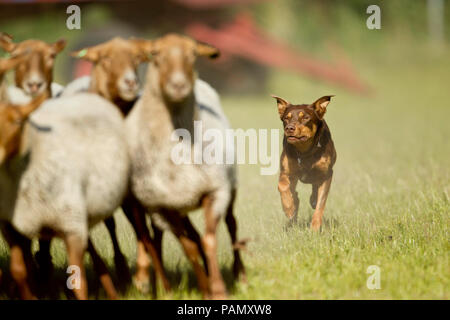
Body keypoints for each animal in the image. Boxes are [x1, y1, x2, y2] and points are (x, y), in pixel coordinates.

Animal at [125, 33, 246, 298]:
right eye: (155, 54)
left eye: (193, 55)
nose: (179, 85)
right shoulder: (162, 208)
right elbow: (189, 248)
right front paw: (205, 288)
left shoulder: (215, 191)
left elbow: (209, 241)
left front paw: (218, 289)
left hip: (230, 186)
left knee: (232, 224)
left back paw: (240, 274)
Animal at [272, 94, 336, 231]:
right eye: (286, 118)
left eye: (306, 117)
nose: (289, 128)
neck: (305, 151)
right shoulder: (286, 171)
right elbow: (282, 186)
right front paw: (289, 207)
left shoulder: (327, 173)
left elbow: (321, 202)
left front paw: (315, 227)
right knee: (295, 193)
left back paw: (312, 199)